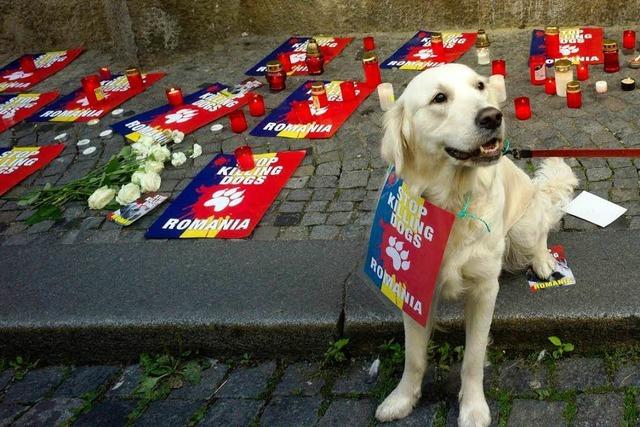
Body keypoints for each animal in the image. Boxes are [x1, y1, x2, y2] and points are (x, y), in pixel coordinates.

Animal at [372, 64, 576, 427]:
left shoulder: (484, 289)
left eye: (480, 86)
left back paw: (543, 261)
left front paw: (473, 408)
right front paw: (402, 398)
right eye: (439, 97)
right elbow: (414, 357)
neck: (453, 204)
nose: (492, 116)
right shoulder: (414, 288)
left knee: (541, 232)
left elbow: (473, 357)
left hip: (523, 226)